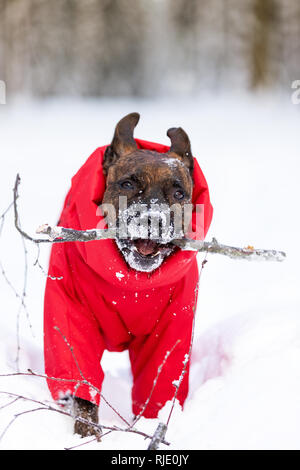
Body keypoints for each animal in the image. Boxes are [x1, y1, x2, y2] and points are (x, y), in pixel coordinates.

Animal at [44, 112, 213, 438]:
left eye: (178, 193)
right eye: (127, 183)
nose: (153, 220)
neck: (129, 283)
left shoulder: (170, 331)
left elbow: (158, 383)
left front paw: (148, 425)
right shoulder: (71, 314)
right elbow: (80, 379)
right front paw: (87, 433)